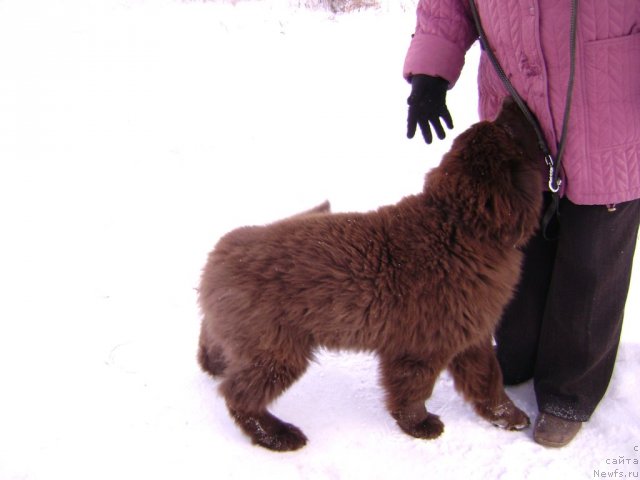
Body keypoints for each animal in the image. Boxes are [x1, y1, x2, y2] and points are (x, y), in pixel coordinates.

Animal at [198, 99, 544, 452]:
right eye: (509, 130)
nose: (512, 101)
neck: (458, 228)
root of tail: (221, 253)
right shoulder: (422, 346)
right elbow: (414, 390)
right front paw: (421, 426)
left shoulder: (471, 335)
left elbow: (487, 380)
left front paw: (509, 417)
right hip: (277, 350)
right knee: (239, 395)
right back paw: (278, 435)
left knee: (213, 344)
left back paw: (213, 364)